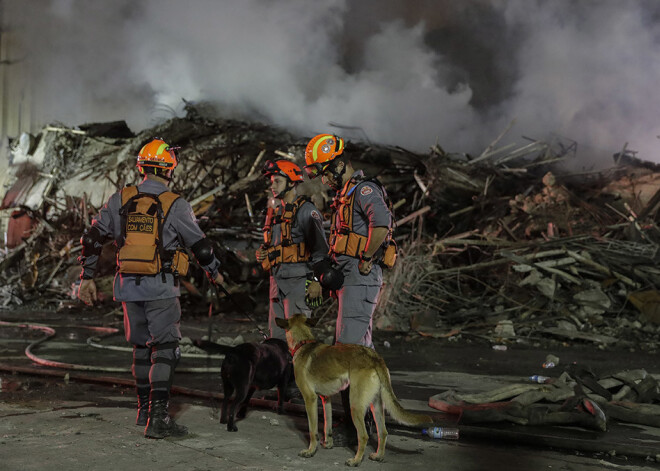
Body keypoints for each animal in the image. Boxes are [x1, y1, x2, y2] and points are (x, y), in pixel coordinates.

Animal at [274, 316, 434, 466]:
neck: (304, 343)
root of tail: (374, 358)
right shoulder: (326, 399)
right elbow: (327, 425)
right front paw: (328, 444)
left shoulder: (310, 399)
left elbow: (313, 431)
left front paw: (311, 451)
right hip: (376, 406)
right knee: (383, 432)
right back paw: (378, 456)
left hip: (355, 406)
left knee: (363, 436)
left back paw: (356, 460)